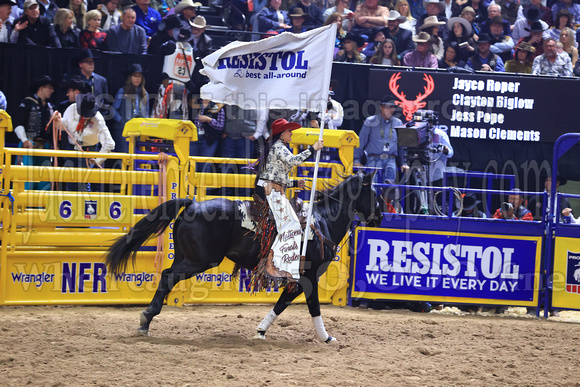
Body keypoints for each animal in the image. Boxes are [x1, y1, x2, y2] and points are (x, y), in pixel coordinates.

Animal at [106, 172, 380, 342]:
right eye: (376, 195)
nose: (380, 217)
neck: (321, 222)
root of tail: (193, 204)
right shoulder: (309, 277)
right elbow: (313, 307)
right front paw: (326, 337)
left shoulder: (297, 280)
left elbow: (281, 304)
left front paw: (260, 331)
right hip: (199, 261)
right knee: (167, 277)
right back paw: (146, 318)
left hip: (187, 256)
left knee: (166, 277)